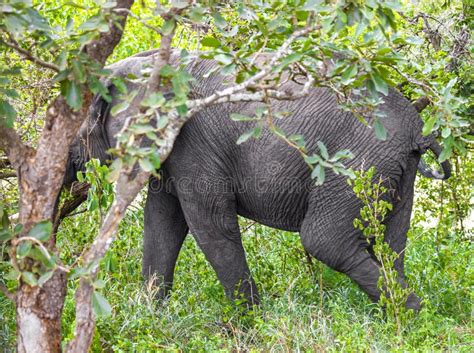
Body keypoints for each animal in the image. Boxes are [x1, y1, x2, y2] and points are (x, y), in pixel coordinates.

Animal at [65, 51, 450, 310]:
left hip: (359, 161)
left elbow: (209, 223)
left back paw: (410, 315)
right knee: (390, 244)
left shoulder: (193, 141)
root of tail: (418, 131)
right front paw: (149, 313)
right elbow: (162, 222)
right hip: (396, 170)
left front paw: (247, 322)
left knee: (325, 241)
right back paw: (401, 318)